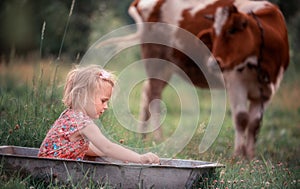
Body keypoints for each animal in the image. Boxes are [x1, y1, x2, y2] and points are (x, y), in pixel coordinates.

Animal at [198, 0, 290, 158]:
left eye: (232, 30)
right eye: (213, 36)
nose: (212, 63)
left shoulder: (267, 92)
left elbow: (255, 123)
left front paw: (250, 155)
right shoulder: (236, 85)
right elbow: (241, 118)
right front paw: (239, 154)